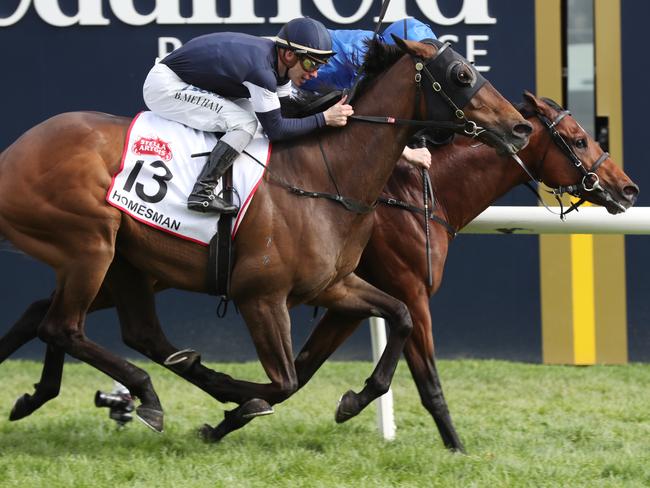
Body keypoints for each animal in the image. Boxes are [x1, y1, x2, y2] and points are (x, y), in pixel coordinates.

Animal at [0, 40, 532, 440]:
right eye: (462, 74)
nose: (520, 127)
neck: (325, 175)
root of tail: (12, 154)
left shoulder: (334, 285)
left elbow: (398, 318)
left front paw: (351, 400)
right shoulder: (260, 296)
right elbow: (285, 381)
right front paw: (236, 405)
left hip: (125, 261)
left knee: (134, 333)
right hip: (90, 245)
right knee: (63, 327)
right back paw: (153, 391)